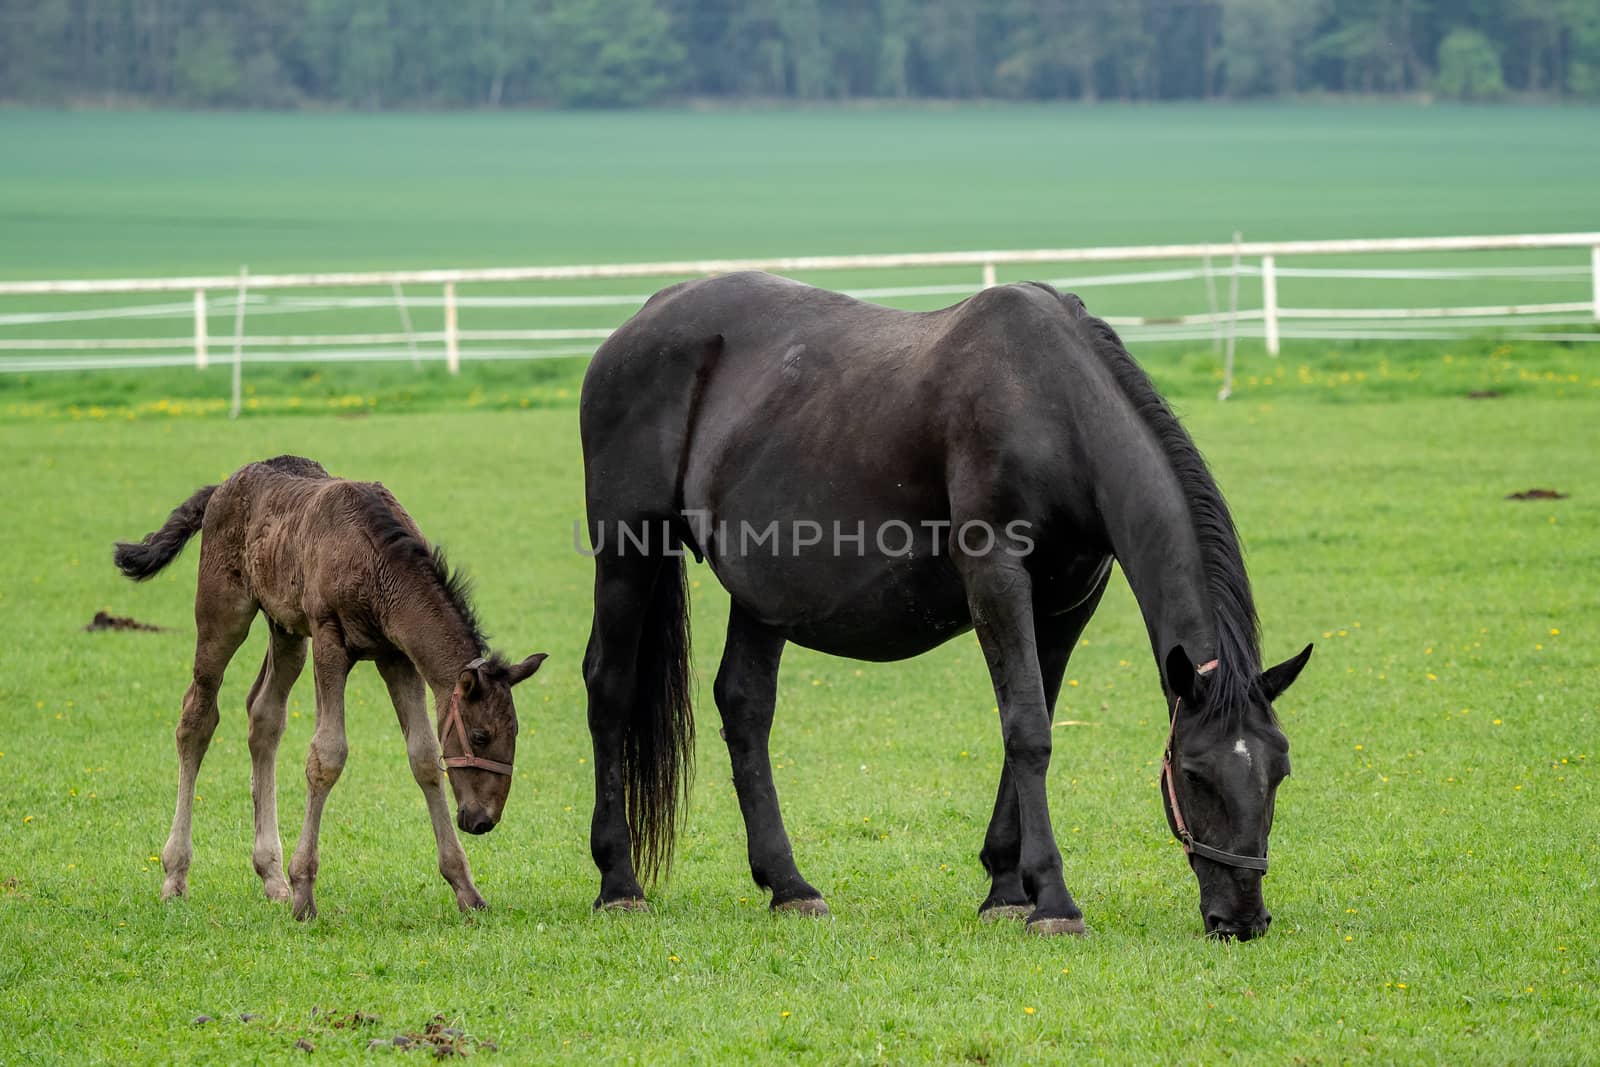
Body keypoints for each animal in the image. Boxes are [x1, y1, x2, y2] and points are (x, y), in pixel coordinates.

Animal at [582, 271, 1305, 940]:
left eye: (1279, 771)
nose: (1243, 918)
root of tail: (641, 320)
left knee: (744, 704)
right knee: (609, 687)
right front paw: (1054, 901)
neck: (1050, 406)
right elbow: (1029, 730)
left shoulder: (1068, 602)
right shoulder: (996, 576)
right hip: (626, 550)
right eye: (1195, 774)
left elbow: (1033, 722)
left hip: (763, 592)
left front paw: (1007, 888)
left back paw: (789, 885)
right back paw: (619, 883)